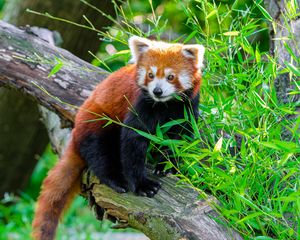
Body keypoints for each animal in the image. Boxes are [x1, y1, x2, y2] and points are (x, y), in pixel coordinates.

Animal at [31, 36, 204, 240]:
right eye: (150, 75)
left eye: (171, 76)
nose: (157, 91)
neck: (165, 104)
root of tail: (76, 131)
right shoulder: (140, 104)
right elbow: (133, 141)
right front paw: (142, 185)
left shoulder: (186, 107)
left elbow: (179, 138)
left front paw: (167, 165)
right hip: (98, 124)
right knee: (100, 153)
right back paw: (115, 179)